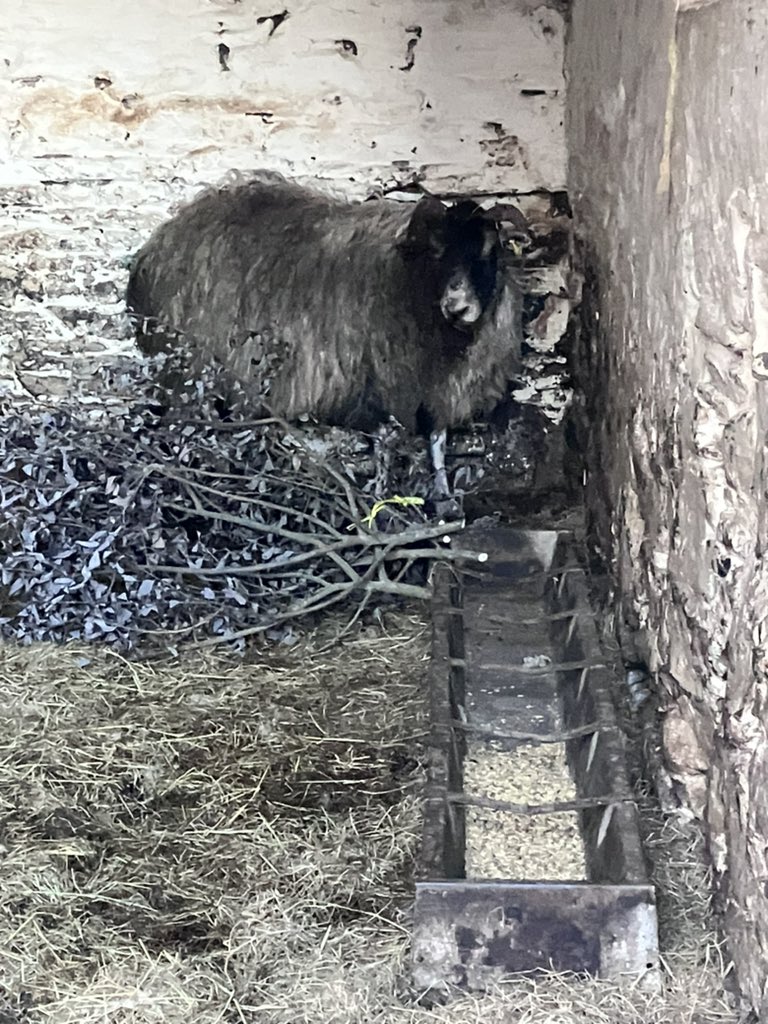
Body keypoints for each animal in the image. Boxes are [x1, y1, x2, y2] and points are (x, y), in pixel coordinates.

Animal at [126, 171, 523, 497]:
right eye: (437, 249)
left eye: (489, 251)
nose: (458, 306)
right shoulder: (366, 392)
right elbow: (384, 437)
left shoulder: (435, 398)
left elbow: (436, 440)